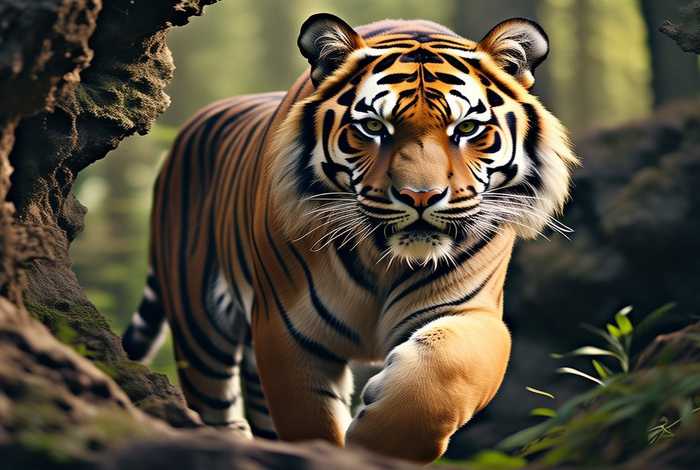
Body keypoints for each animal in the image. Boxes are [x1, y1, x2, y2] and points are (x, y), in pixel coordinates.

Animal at [121, 13, 577, 463]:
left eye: (466, 128)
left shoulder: (472, 313)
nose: (420, 196)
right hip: (201, 333)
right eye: (374, 127)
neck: (385, 258)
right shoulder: (289, 330)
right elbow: (310, 423)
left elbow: (439, 380)